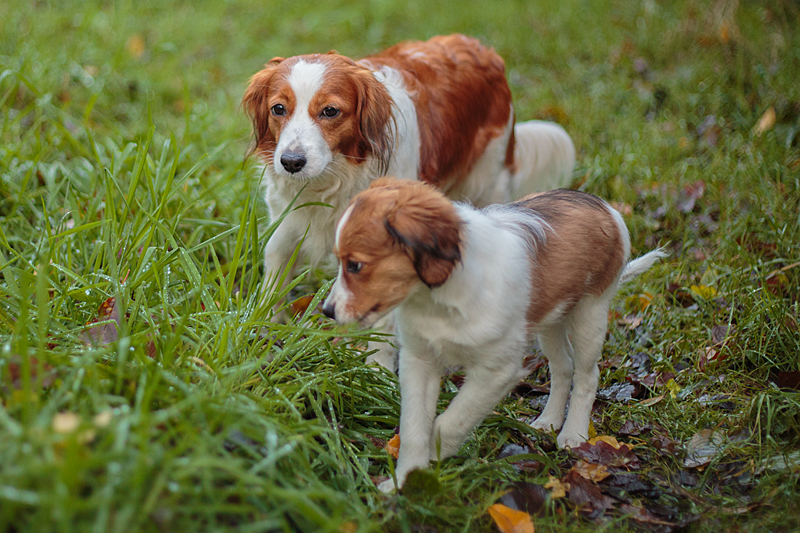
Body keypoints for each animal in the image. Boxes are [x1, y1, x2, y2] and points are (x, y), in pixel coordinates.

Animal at [244, 35, 576, 368]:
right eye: (278, 108)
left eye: (330, 111)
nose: (291, 162)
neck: (334, 178)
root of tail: (477, 46)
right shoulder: (285, 228)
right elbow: (273, 284)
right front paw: (260, 336)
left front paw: (377, 368)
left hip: (489, 182)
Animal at [322, 179, 664, 490]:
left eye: (355, 265)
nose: (326, 311)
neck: (438, 300)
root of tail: (605, 207)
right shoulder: (419, 360)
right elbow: (413, 428)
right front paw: (406, 479)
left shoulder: (496, 371)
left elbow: (448, 423)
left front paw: (433, 462)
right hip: (550, 319)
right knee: (562, 367)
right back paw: (549, 421)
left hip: (589, 314)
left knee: (587, 374)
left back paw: (573, 433)